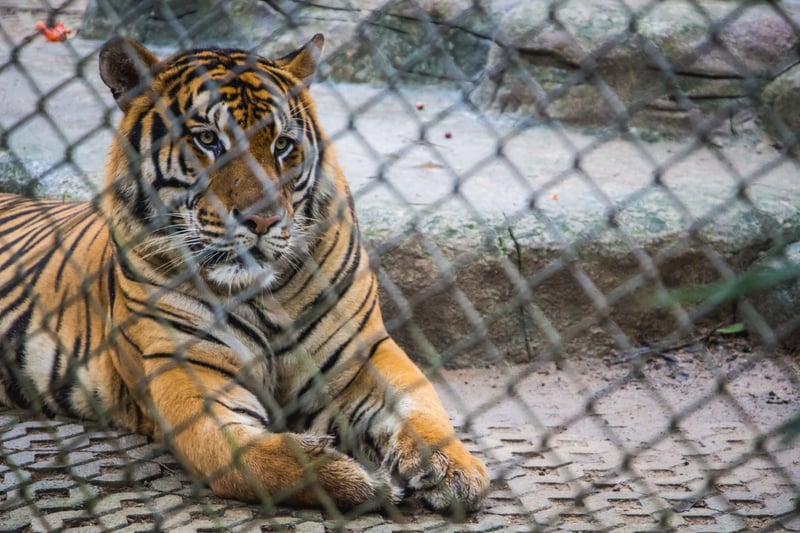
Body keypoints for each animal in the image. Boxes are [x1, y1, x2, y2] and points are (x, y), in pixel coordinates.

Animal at [0, 34, 488, 512]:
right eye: (207, 140)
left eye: (283, 145)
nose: (262, 219)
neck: (265, 293)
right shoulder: (189, 369)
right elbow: (245, 459)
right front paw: (357, 479)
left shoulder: (360, 352)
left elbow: (420, 405)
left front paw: (454, 469)